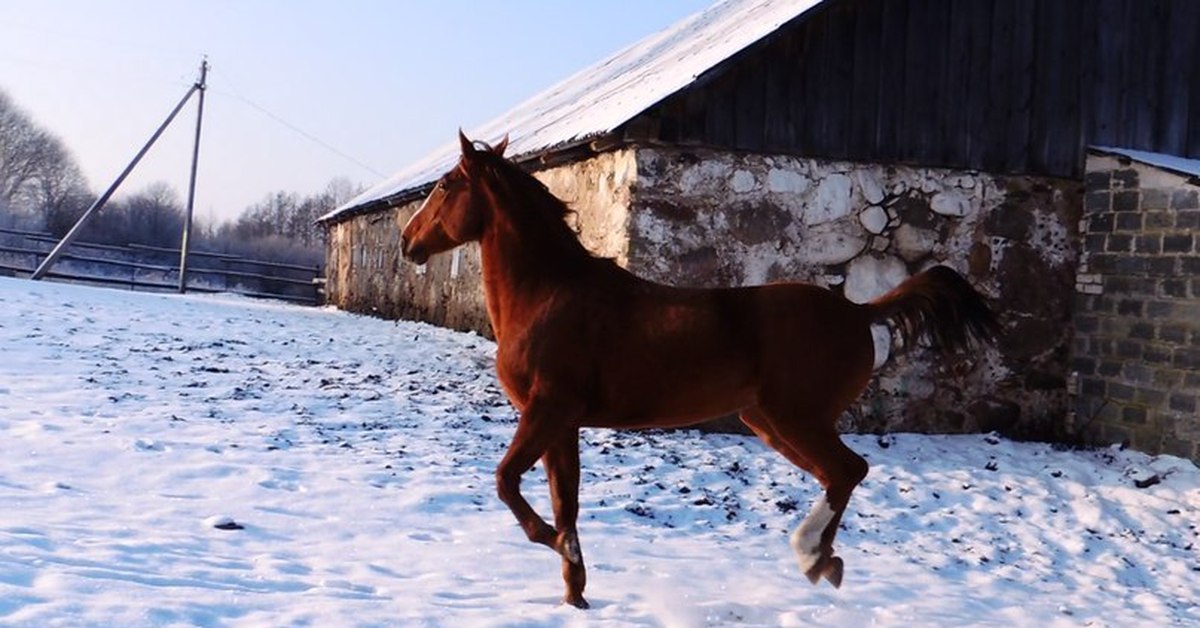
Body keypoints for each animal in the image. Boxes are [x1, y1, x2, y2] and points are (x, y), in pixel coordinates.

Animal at [398, 131, 998, 609]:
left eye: (446, 185)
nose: (408, 242)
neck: (548, 294)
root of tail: (857, 310)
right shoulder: (562, 425)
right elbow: (565, 502)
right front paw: (575, 593)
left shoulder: (548, 411)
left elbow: (506, 482)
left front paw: (553, 544)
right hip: (769, 423)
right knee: (838, 475)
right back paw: (823, 561)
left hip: (795, 418)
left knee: (849, 470)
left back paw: (810, 556)